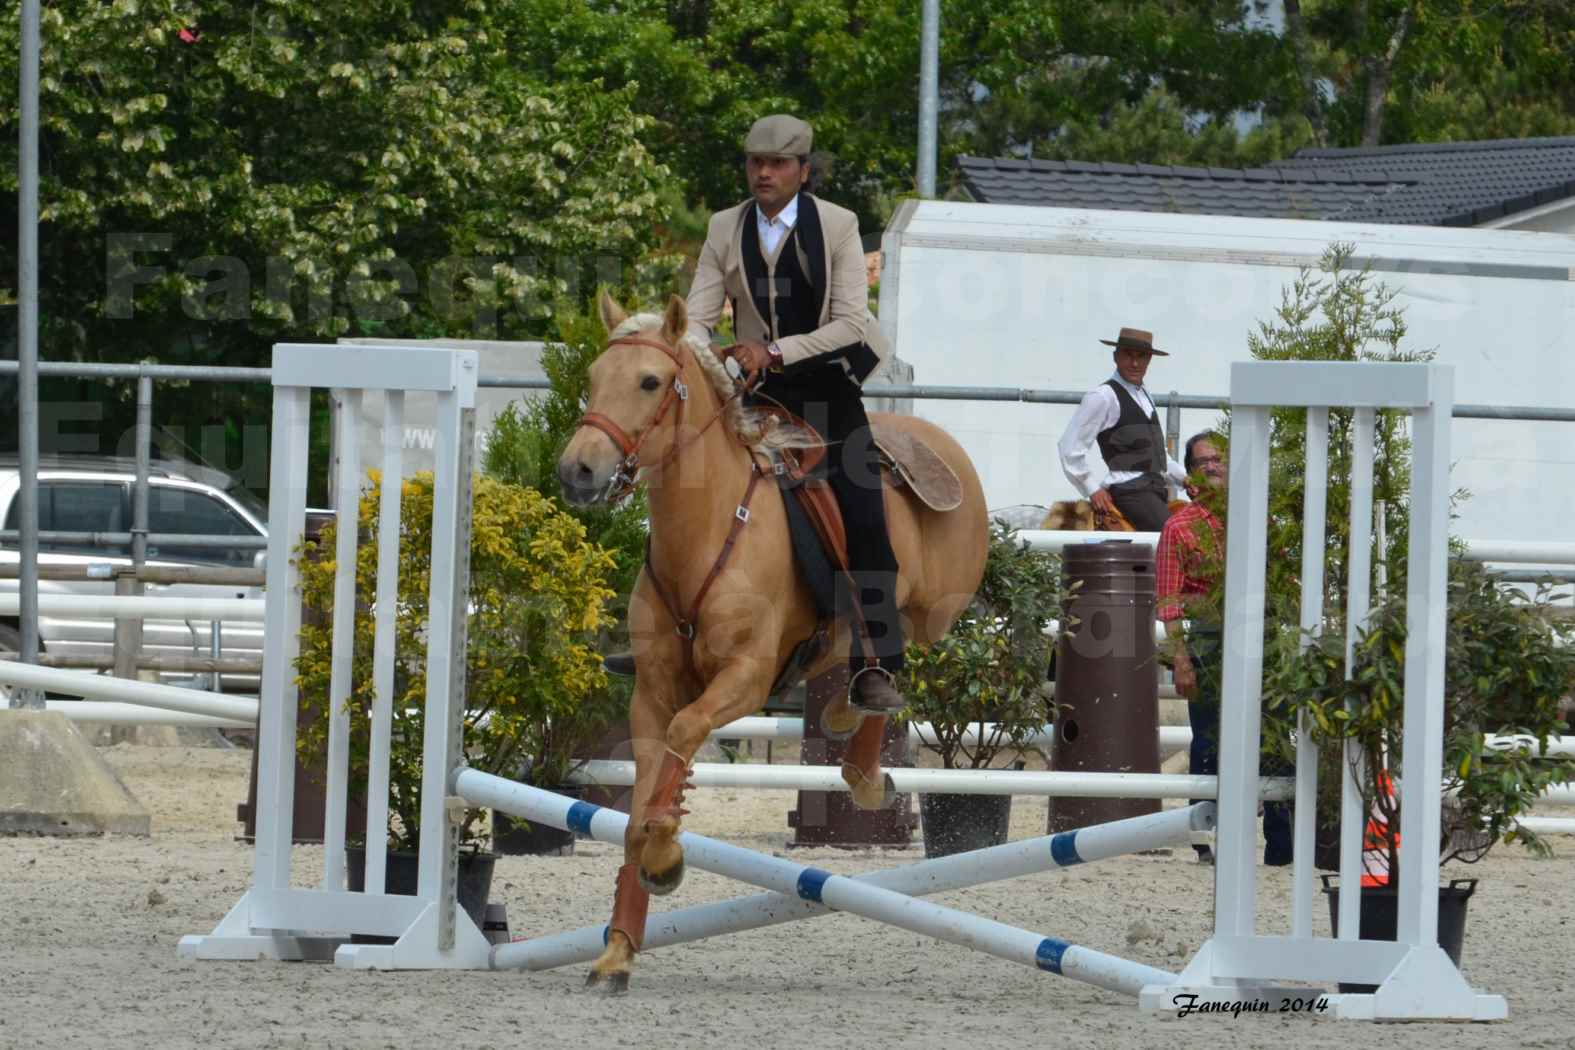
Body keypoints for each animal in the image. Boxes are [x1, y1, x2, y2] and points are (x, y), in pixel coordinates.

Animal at [557, 291, 982, 988]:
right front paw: (618, 946)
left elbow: (681, 745)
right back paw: (843, 714)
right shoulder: (651, 694)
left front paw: (665, 854)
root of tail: (940, 443)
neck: (706, 531)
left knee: (893, 661)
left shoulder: (744, 680)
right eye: (594, 377)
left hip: (931, 612)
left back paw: (864, 759)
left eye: (649, 382)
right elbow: (640, 806)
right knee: (854, 666)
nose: (578, 470)